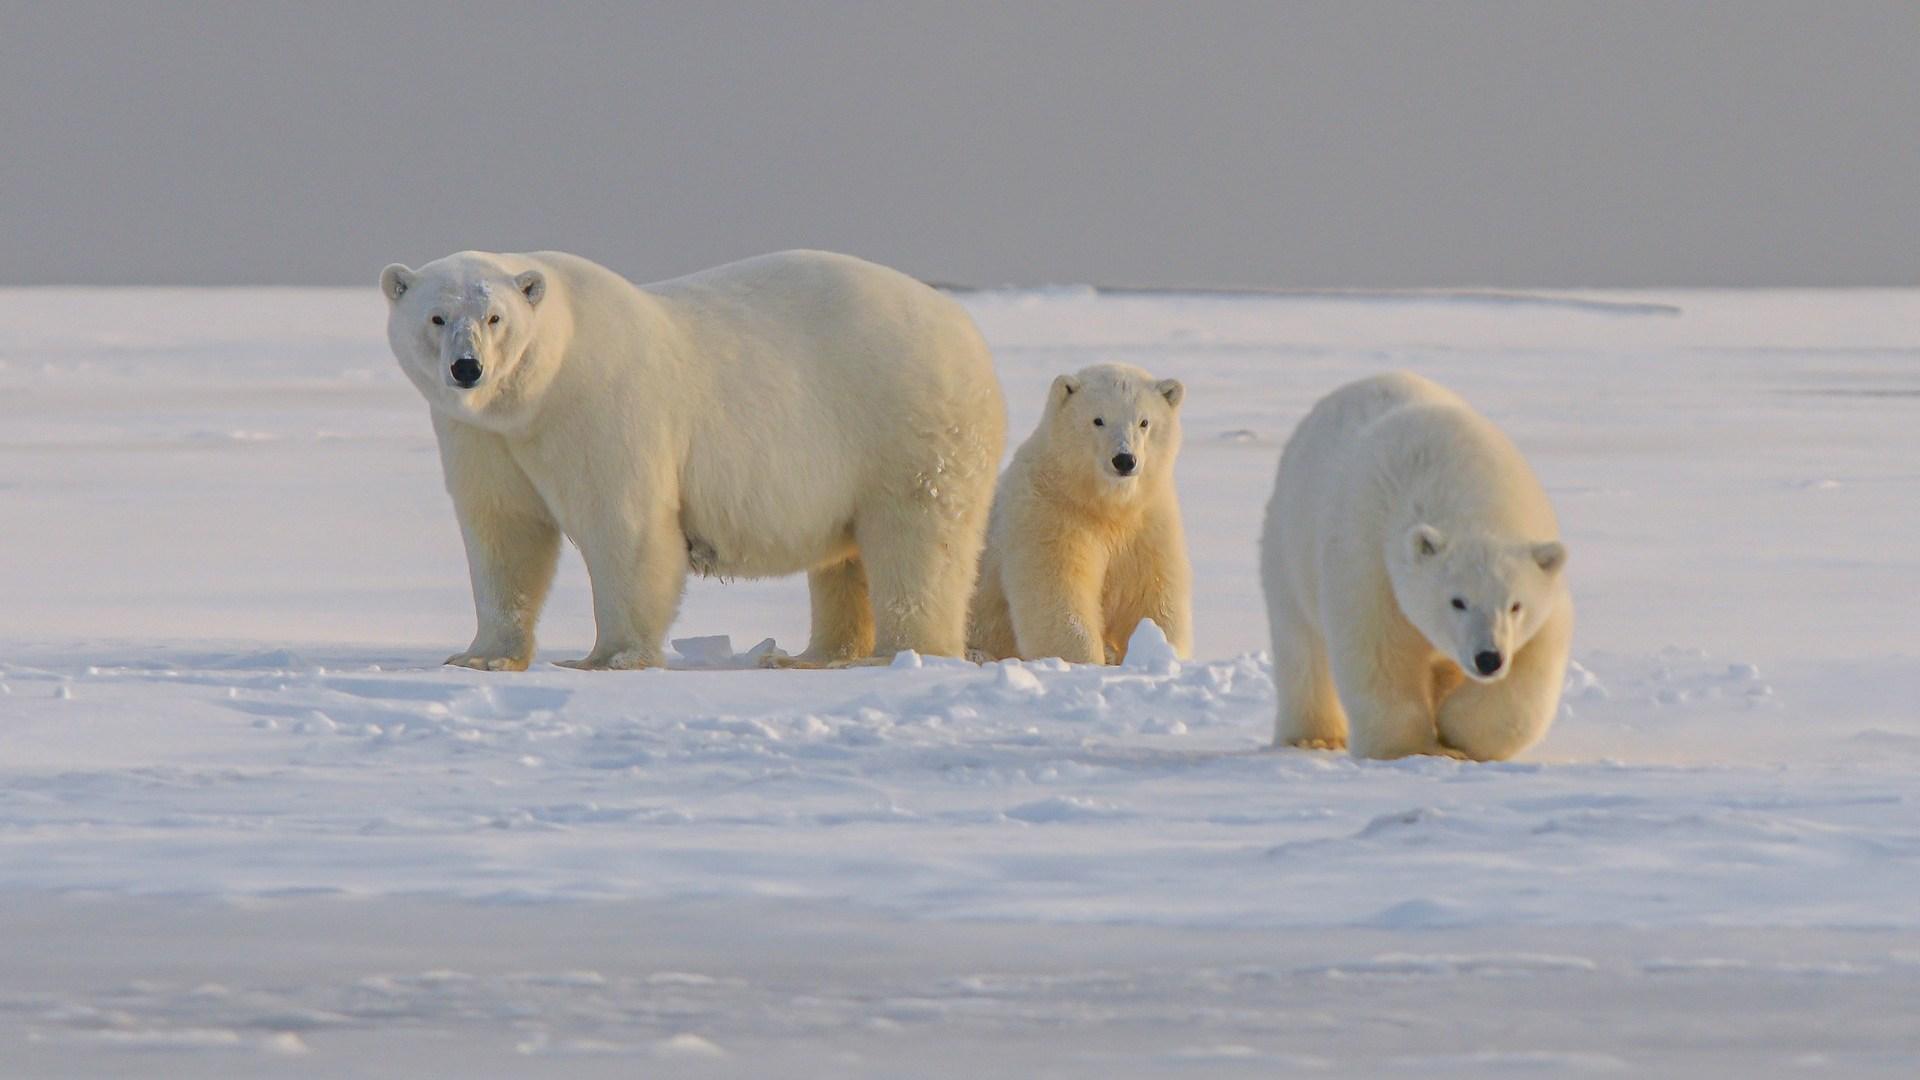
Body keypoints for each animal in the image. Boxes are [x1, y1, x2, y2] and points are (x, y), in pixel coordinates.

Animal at [374, 249, 1006, 668]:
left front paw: (609, 657)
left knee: (917, 540)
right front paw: (481, 656)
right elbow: (504, 532)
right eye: (436, 317)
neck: (540, 390)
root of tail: (967, 331)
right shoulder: (482, 436)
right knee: (844, 560)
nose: (467, 368)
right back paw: (816, 655)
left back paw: (904, 652)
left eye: (495, 317)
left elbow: (624, 526)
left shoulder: (603, 408)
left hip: (905, 424)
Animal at [975, 361, 1182, 661]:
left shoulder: (1147, 522)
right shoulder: (1049, 515)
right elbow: (1059, 596)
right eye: (1098, 420)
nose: (1124, 460)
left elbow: (1151, 595)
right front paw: (1086, 660)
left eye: (1144, 422)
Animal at [1259, 368, 1574, 757]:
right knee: (1301, 646)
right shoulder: (1369, 559)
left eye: (1516, 605)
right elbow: (1379, 650)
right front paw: (1409, 748)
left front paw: (1456, 732)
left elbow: (1533, 666)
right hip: (1289, 546)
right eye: (1457, 601)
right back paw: (1313, 736)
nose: (1488, 658)